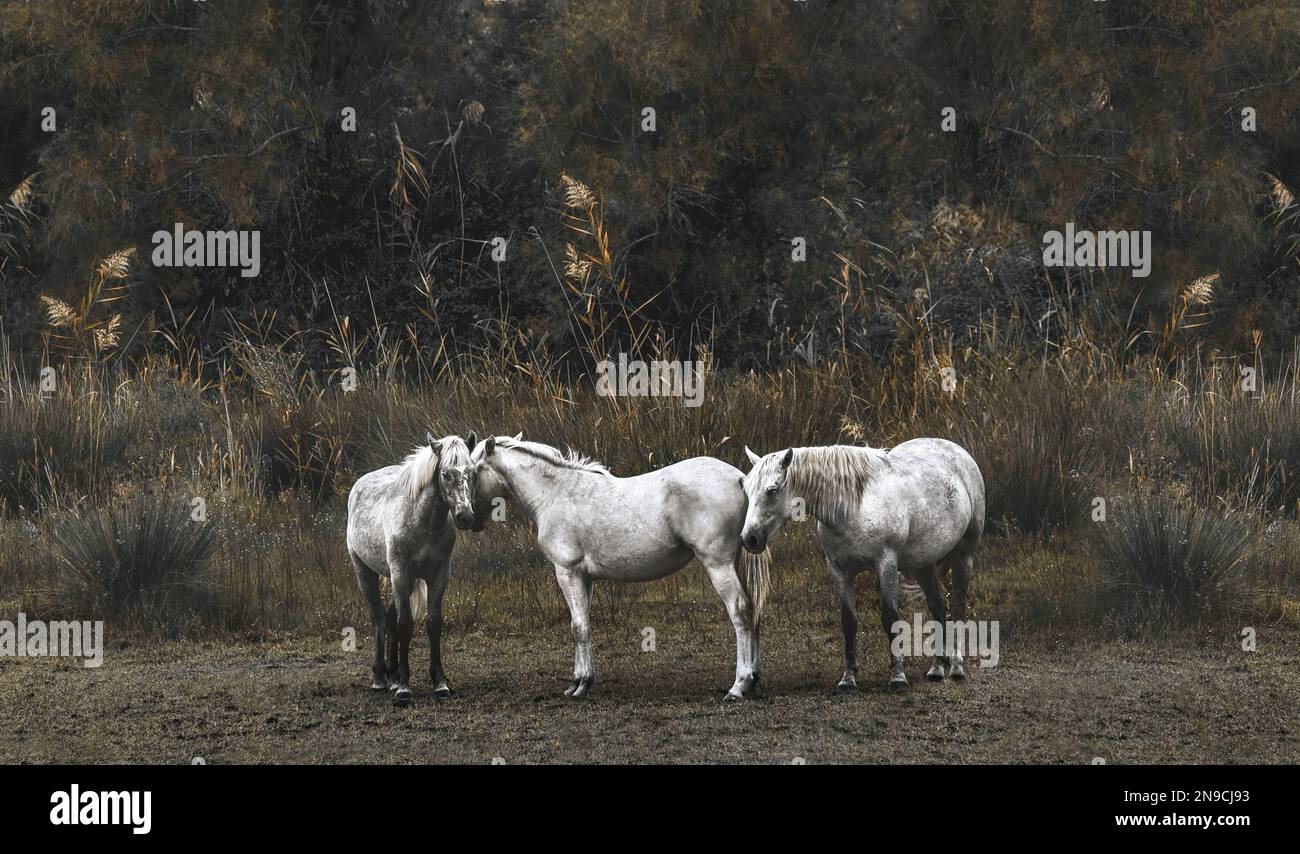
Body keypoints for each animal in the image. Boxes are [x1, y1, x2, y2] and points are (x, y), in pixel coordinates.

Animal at [345, 428, 483, 701]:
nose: (465, 517)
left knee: (389, 615)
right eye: (445, 474)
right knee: (379, 617)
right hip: (365, 572)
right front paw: (404, 687)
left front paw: (439, 683)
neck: (423, 521)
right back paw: (380, 677)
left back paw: (391, 674)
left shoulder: (438, 576)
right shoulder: (400, 574)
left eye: (472, 473)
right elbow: (405, 624)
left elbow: (433, 623)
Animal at [470, 434, 764, 701]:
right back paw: (753, 679)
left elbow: (578, 626)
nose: (468, 519)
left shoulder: (567, 572)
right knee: (752, 610)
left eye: (471, 472)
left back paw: (739, 686)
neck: (555, 494)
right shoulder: (585, 578)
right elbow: (584, 623)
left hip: (718, 564)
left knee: (740, 610)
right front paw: (580, 681)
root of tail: (740, 478)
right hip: (733, 564)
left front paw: (581, 685)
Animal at [743, 436, 982, 691]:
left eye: (771, 491)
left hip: (964, 555)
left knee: (957, 604)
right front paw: (848, 679)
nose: (750, 538)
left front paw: (898, 677)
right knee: (937, 604)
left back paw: (956, 667)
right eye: (746, 489)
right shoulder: (839, 571)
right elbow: (848, 622)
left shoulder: (886, 564)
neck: (853, 507)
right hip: (923, 564)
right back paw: (937, 667)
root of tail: (957, 450)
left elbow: (890, 618)